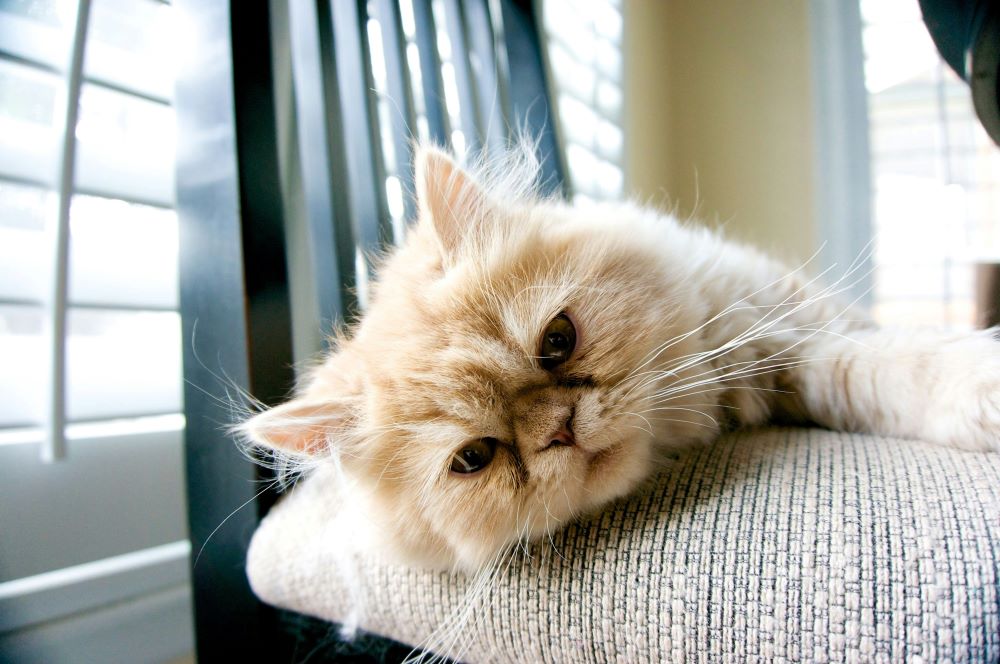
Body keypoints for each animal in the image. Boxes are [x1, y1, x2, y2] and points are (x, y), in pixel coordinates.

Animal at [240, 143, 1000, 572]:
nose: (559, 430)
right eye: (473, 459)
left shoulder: (793, 323)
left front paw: (980, 382)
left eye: (557, 340)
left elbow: (887, 362)